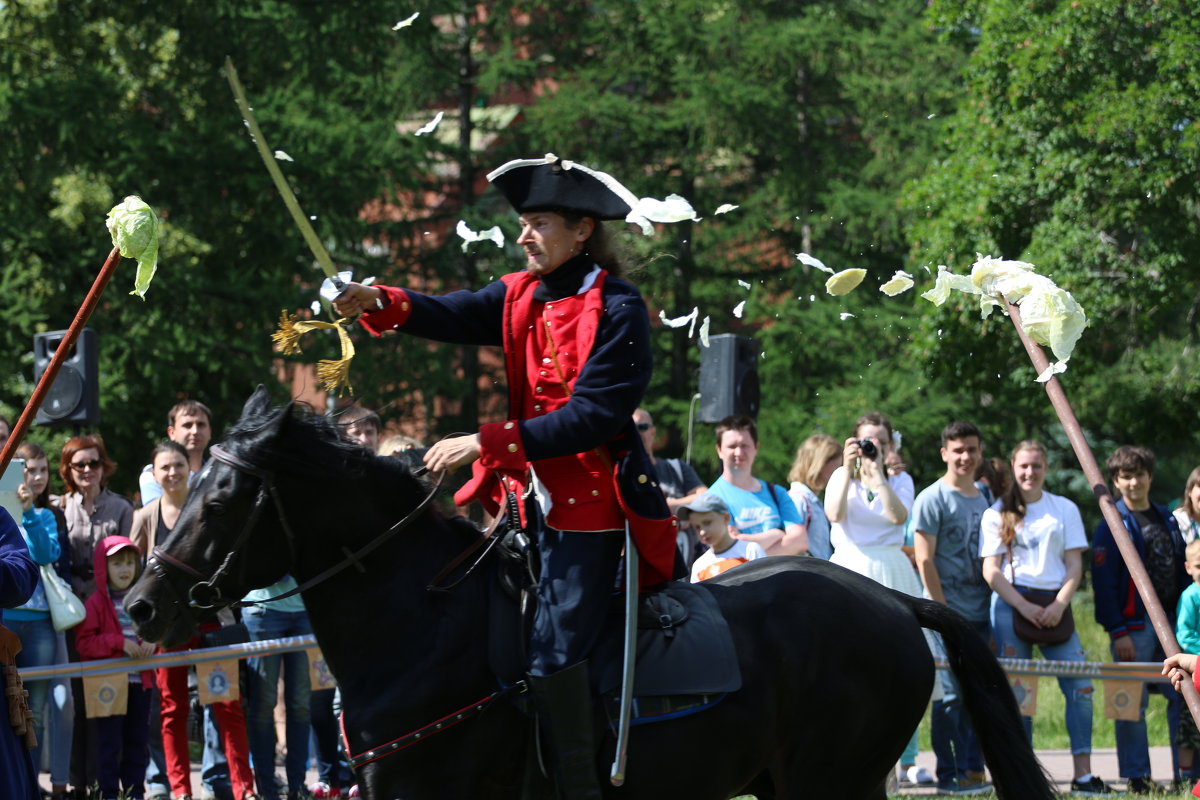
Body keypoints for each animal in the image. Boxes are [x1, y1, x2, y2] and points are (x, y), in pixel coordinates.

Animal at [126, 388, 1056, 800]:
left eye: (223, 497)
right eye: (186, 481)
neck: (426, 628)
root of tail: (896, 606)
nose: (141, 605)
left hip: (829, 787)